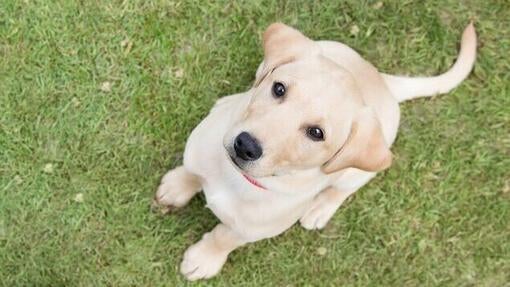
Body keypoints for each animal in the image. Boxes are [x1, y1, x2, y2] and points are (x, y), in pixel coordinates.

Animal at [153, 22, 476, 282]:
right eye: (279, 88)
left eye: (316, 133)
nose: (245, 145)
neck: (237, 180)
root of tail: (383, 81)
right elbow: (193, 171)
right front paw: (178, 186)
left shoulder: (249, 230)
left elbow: (224, 238)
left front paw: (204, 259)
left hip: (356, 172)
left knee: (342, 189)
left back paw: (320, 209)